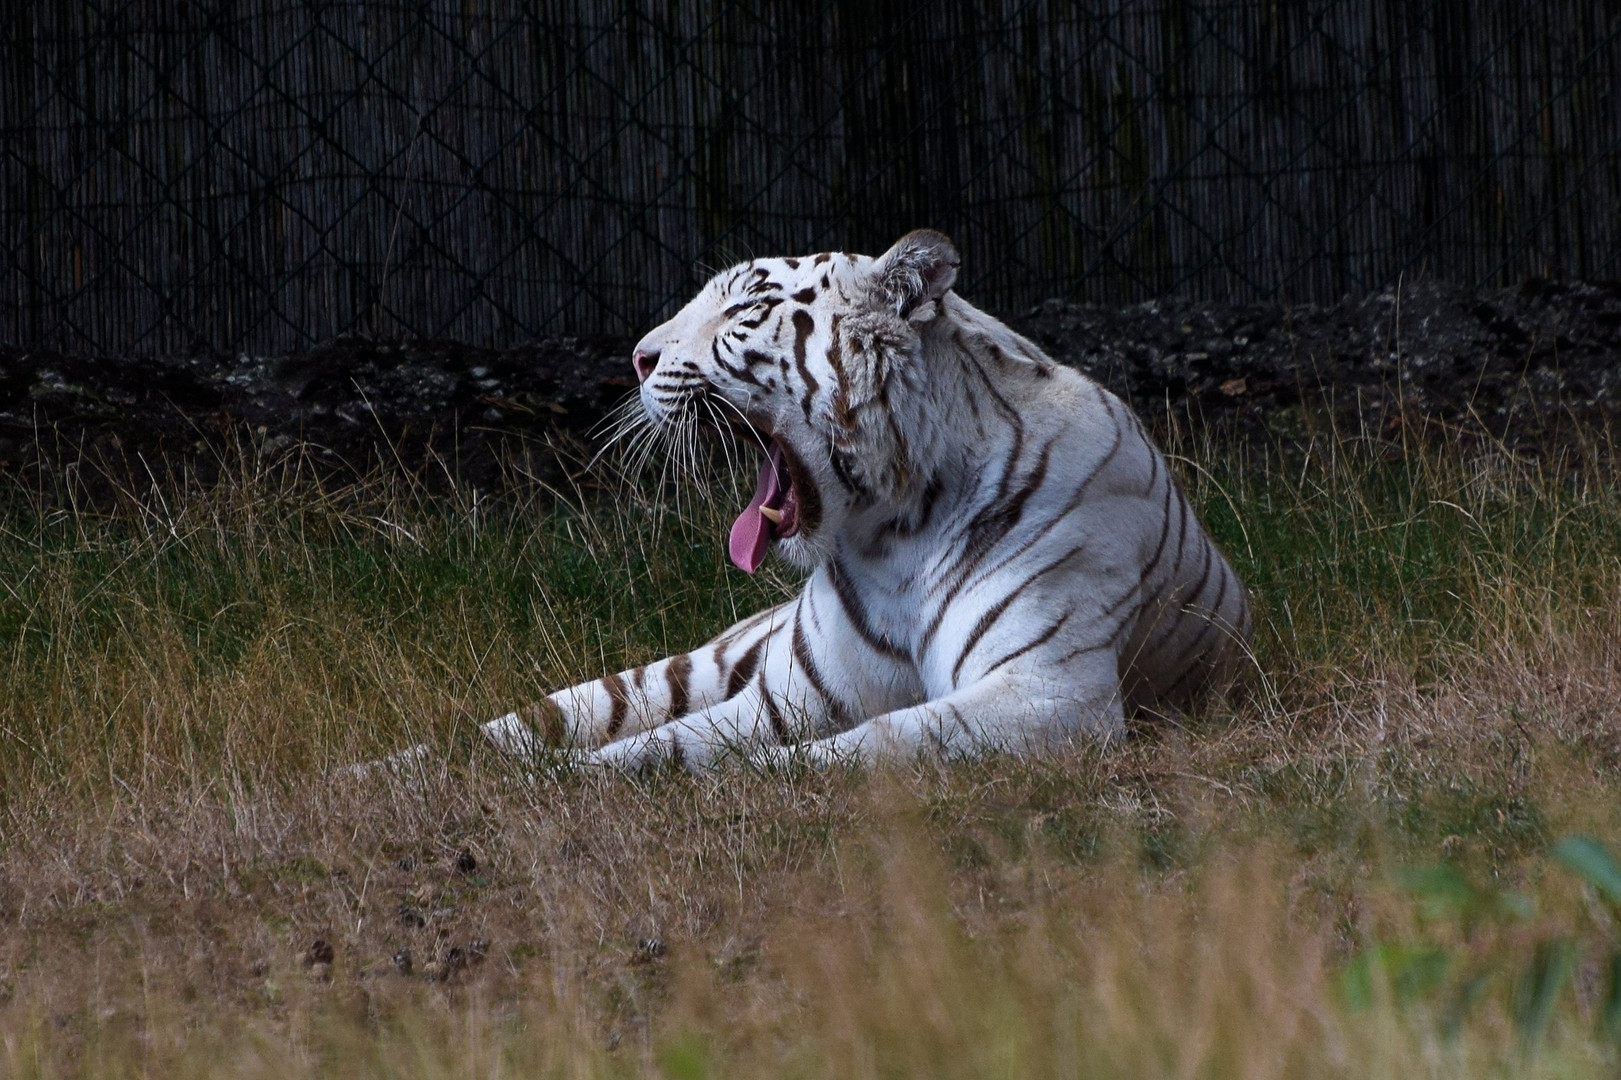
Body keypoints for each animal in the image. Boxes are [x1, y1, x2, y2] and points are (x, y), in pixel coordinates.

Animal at [473, 228, 1244, 765]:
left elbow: (863, 746)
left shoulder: (1046, 694)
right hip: (704, 663)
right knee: (573, 708)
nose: (635, 358)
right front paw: (563, 776)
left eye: (743, 308)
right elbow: (669, 741)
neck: (896, 530)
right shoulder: (789, 694)